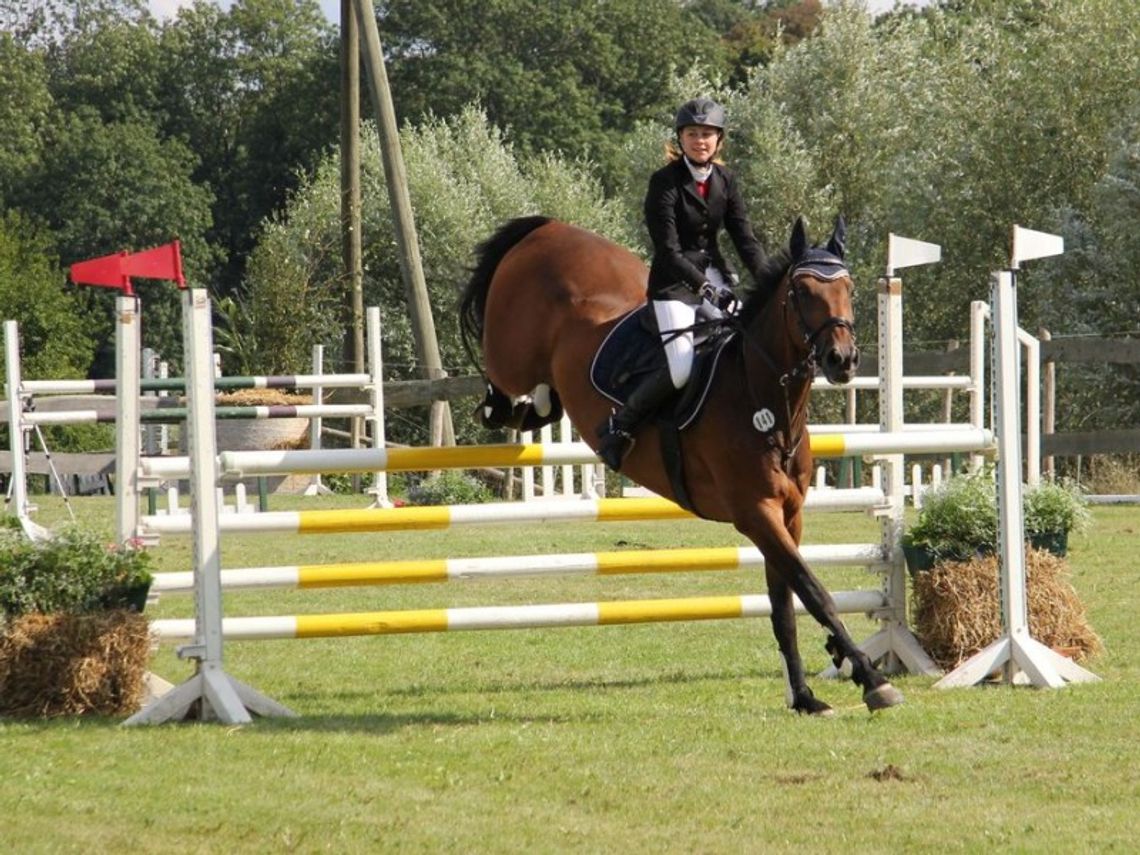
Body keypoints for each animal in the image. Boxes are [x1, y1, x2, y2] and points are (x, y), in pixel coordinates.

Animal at [458, 215, 902, 715]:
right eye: (803, 291)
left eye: (848, 287)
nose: (842, 359)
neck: (762, 398)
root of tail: (549, 227)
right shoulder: (756, 514)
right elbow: (815, 592)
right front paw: (871, 678)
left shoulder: (789, 515)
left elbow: (785, 605)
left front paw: (806, 696)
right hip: (510, 353)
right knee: (500, 378)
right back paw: (500, 406)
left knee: (542, 400)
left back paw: (535, 408)